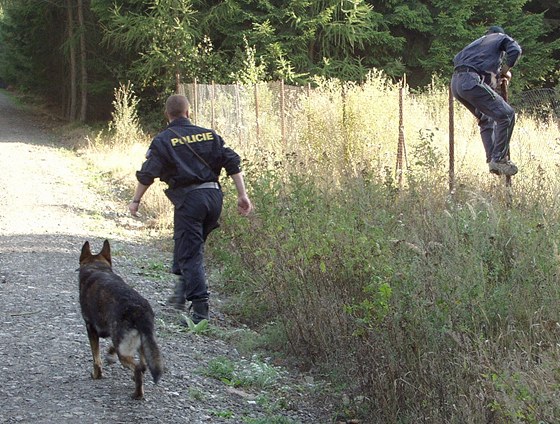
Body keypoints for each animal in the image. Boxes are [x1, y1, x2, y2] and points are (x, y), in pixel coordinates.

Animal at [77, 240, 163, 400]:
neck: (97, 267)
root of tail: (139, 310)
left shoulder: (91, 329)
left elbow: (96, 359)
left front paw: (97, 375)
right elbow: (109, 348)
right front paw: (109, 355)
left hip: (124, 353)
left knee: (138, 368)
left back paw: (137, 393)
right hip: (142, 345)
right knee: (143, 366)